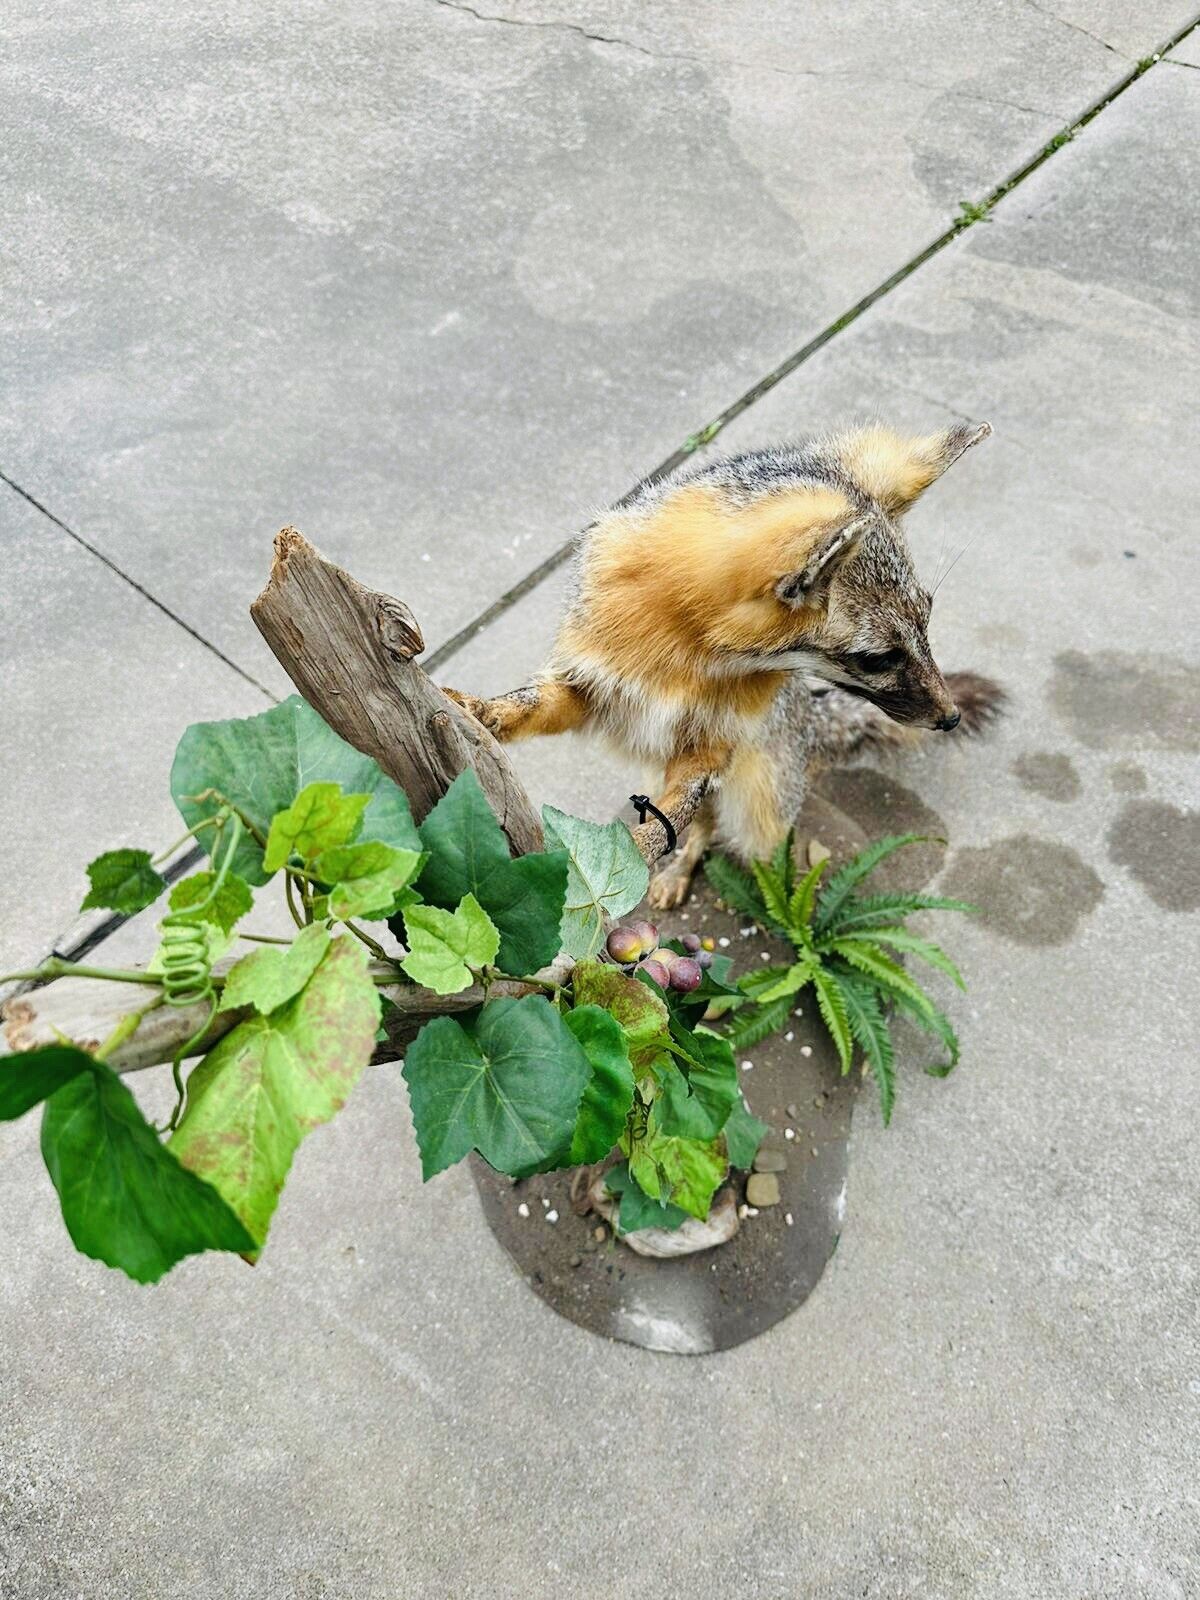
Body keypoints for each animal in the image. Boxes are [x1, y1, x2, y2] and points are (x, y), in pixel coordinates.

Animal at [444, 421, 1004, 910]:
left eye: (928, 618)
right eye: (878, 658)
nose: (951, 718)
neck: (685, 657)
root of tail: (809, 724)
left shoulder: (708, 748)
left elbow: (669, 819)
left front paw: (631, 858)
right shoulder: (597, 686)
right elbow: (531, 703)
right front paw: (477, 710)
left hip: (758, 808)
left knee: (727, 836)